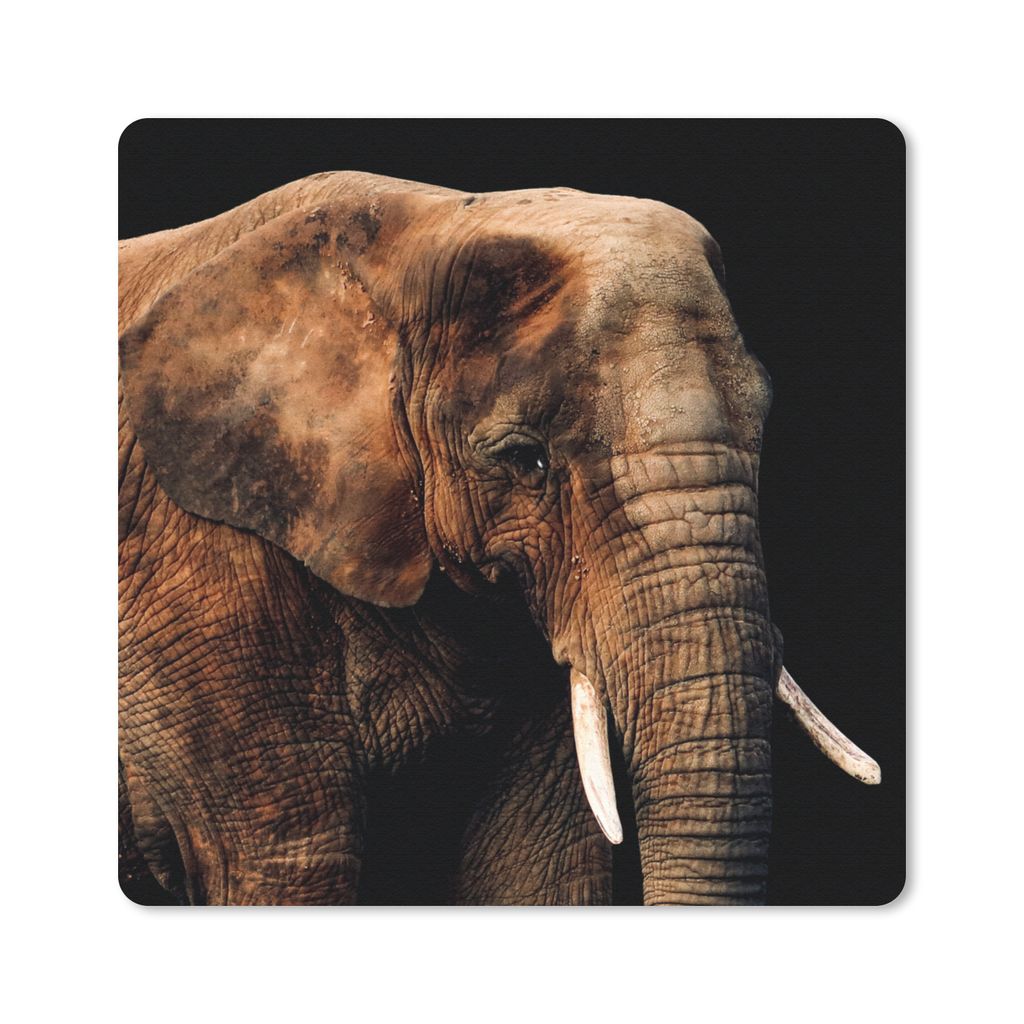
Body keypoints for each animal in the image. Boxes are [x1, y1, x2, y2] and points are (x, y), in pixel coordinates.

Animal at [118, 170, 879, 905]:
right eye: (525, 459)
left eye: (763, 431)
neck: (414, 236)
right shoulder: (196, 572)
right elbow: (288, 861)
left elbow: (537, 866)